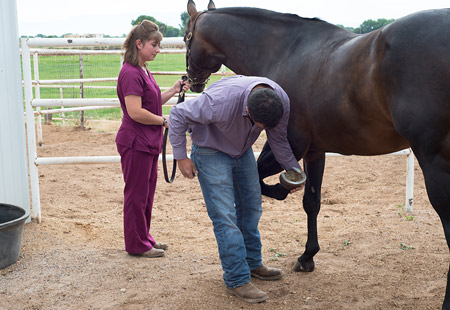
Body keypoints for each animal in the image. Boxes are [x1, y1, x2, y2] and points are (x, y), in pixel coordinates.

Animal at [183, 0, 450, 308]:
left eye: (186, 37)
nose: (191, 81)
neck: (284, 51)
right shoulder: (314, 152)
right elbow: (311, 202)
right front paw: (307, 256)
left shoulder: (289, 144)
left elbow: (262, 181)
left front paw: (281, 190)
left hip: (434, 162)